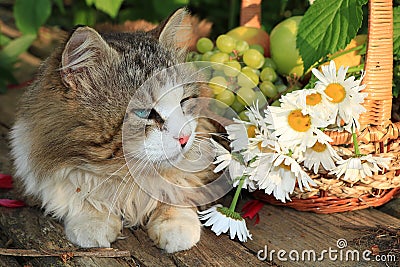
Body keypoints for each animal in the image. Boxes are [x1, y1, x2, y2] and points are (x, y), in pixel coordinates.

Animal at [8, 8, 219, 254]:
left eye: (184, 101)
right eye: (144, 113)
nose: (184, 138)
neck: (125, 177)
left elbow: (177, 189)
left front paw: (176, 225)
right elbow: (80, 195)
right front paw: (93, 222)